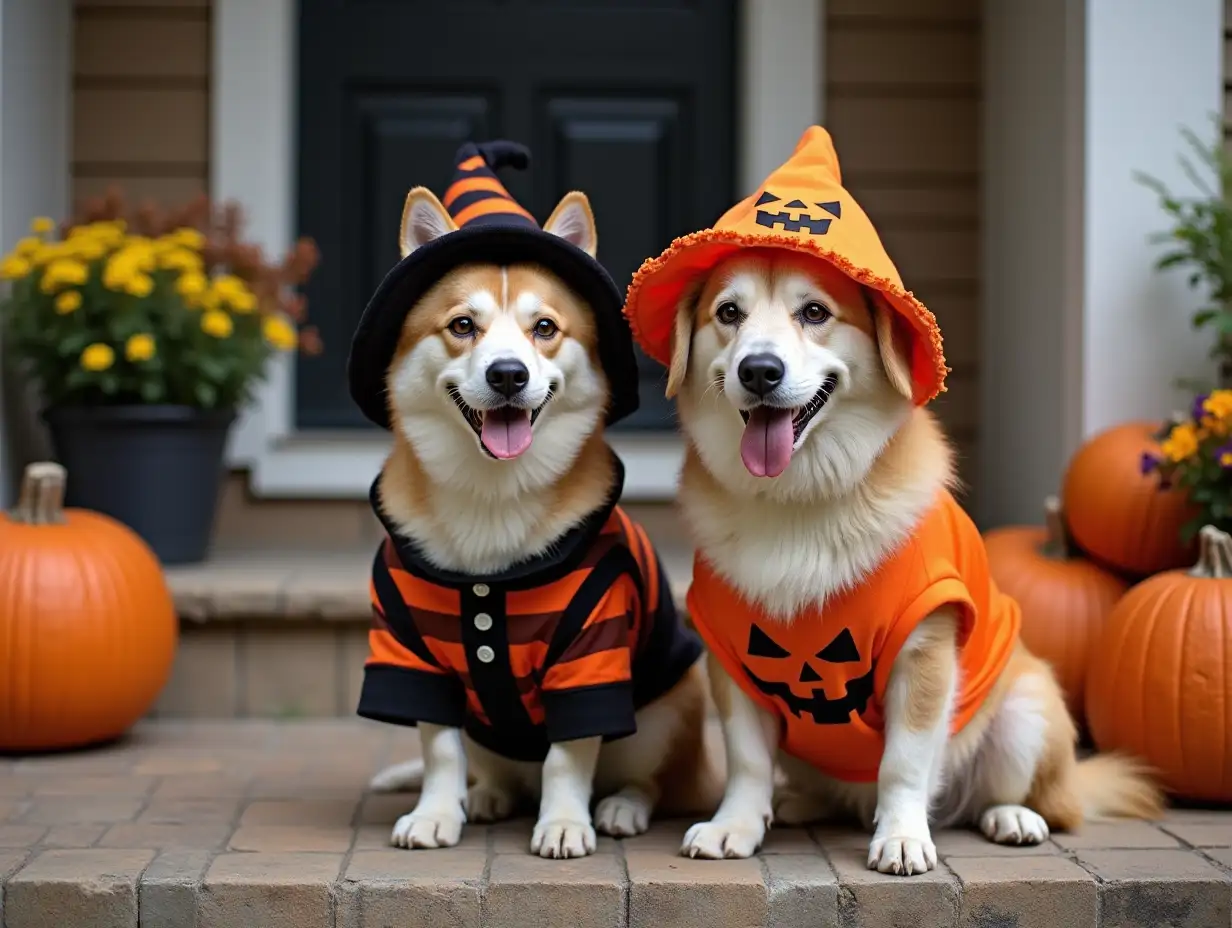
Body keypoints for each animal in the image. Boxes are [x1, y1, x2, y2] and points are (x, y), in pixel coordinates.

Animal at [347, 141, 719, 857]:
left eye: (544, 327)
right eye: (463, 326)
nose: (508, 375)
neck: (491, 496)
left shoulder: (592, 657)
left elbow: (568, 757)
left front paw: (565, 821)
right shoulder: (409, 654)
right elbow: (439, 750)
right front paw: (437, 813)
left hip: (668, 709)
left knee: (653, 782)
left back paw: (622, 807)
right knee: (494, 770)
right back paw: (488, 796)